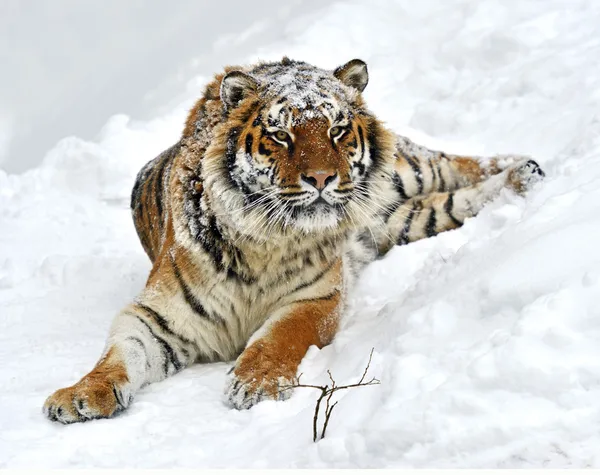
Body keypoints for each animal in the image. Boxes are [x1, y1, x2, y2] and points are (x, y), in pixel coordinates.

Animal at [44, 56, 548, 424]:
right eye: (281, 135)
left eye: (337, 130)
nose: (322, 178)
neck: (265, 242)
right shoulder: (156, 315)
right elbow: (119, 353)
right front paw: (79, 395)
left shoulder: (318, 297)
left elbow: (280, 336)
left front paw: (255, 383)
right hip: (399, 219)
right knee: (450, 202)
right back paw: (520, 180)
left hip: (407, 172)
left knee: (454, 163)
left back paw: (528, 168)